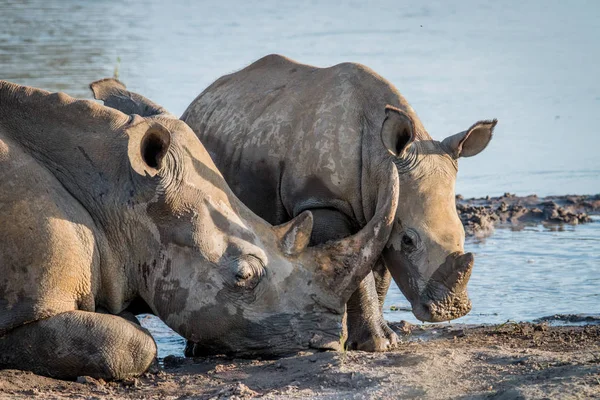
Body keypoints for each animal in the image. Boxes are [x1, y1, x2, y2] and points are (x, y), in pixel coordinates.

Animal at [89, 54, 496, 352]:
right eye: (409, 240)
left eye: (463, 233)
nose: (450, 310)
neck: (381, 160)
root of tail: (201, 99)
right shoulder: (323, 203)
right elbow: (363, 272)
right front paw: (376, 345)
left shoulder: (381, 201)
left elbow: (378, 272)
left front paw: (383, 340)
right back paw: (202, 352)